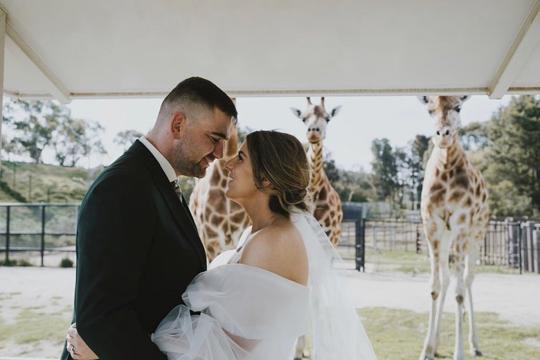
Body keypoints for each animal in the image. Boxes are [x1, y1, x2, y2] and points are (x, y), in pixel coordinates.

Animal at [418, 95, 490, 360]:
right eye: (429, 110)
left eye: (458, 107)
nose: (443, 134)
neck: (447, 167)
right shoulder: (432, 224)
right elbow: (435, 287)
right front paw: (426, 349)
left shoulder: (461, 222)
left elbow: (459, 292)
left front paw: (459, 352)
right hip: (447, 235)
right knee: (449, 279)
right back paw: (436, 344)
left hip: (476, 232)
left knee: (467, 279)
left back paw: (475, 344)